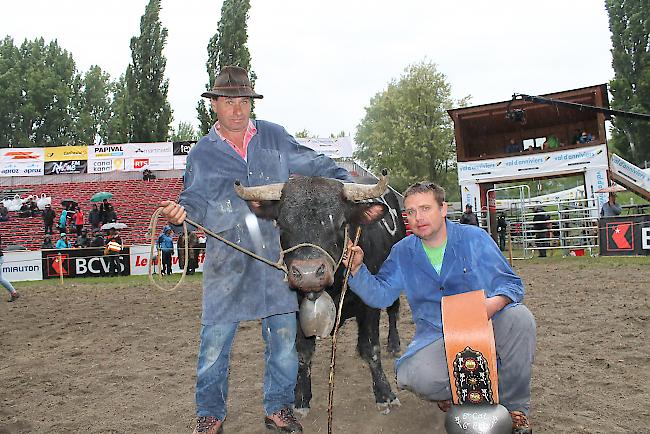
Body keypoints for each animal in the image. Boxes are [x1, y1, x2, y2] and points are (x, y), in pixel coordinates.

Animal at [233, 172, 404, 414]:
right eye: (282, 224)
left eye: (341, 223)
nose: (309, 273)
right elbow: (303, 352)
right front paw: (301, 397)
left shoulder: (370, 304)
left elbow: (372, 347)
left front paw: (384, 393)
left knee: (393, 311)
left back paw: (394, 345)